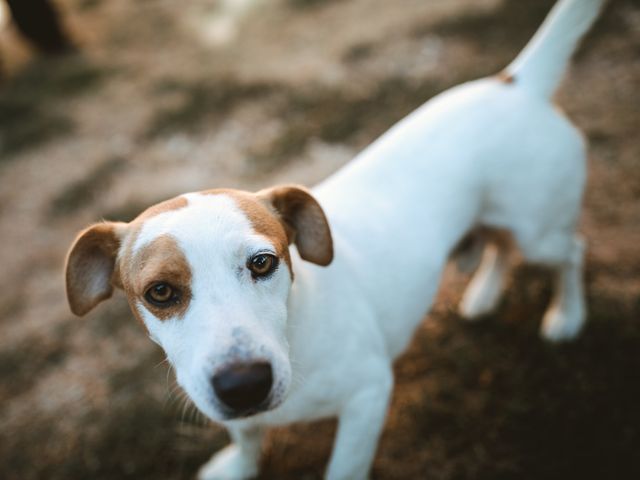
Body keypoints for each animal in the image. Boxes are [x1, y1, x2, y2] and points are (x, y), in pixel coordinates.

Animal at [66, 1, 608, 478]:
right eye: (160, 292)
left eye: (262, 263)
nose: (244, 385)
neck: (296, 328)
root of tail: (516, 83)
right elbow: (246, 438)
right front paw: (239, 465)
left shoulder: (369, 396)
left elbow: (343, 467)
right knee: (500, 245)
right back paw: (485, 294)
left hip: (540, 229)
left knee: (569, 253)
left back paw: (567, 315)